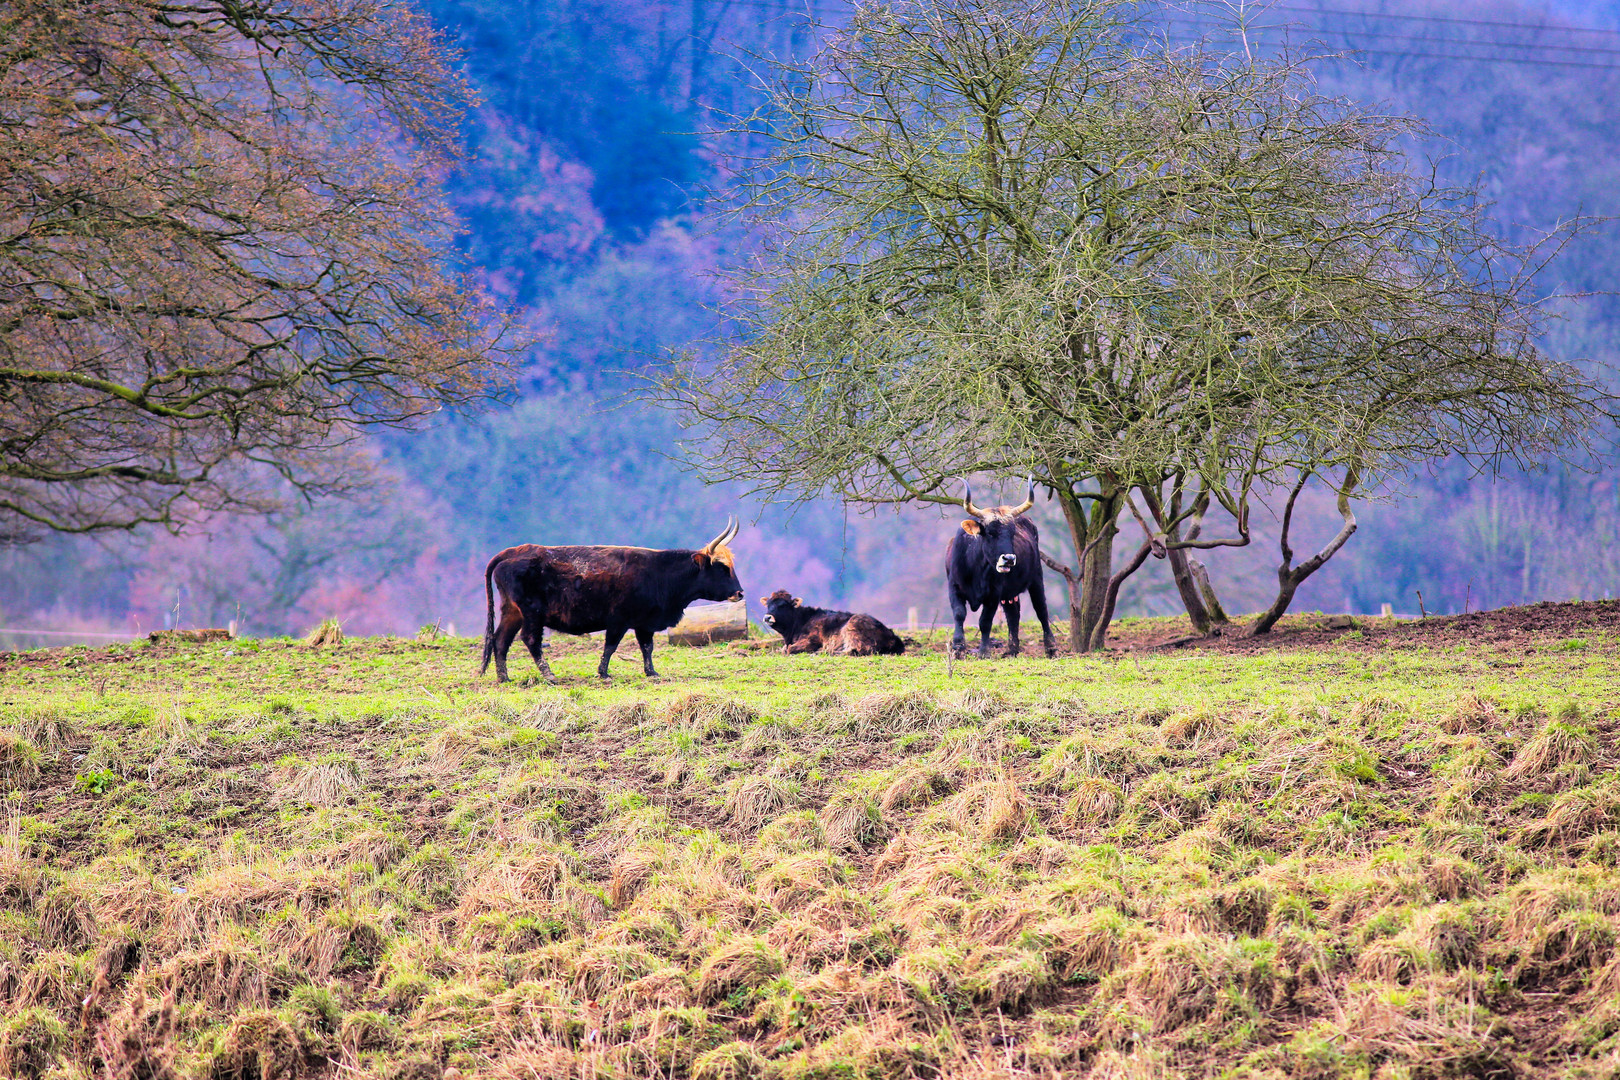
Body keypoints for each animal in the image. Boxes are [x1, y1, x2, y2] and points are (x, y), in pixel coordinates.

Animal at [473, 518, 741, 680]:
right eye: (721, 567)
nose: (740, 593)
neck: (660, 572)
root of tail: (515, 551)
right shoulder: (619, 620)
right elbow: (610, 646)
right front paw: (603, 673)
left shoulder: (644, 622)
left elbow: (647, 647)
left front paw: (651, 672)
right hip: (531, 613)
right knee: (529, 640)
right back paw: (548, 675)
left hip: (512, 611)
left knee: (500, 640)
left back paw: (504, 677)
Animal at [761, 592, 907, 660]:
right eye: (768, 604)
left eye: (783, 605)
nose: (767, 617)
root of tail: (893, 637)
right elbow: (782, 649)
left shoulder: (811, 640)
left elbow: (789, 649)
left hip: (854, 628)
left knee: (858, 650)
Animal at [946, 482, 1056, 660]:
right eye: (990, 533)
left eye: (1012, 534)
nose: (1009, 558)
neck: (976, 569)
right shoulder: (954, 587)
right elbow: (959, 614)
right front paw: (957, 649)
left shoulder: (993, 594)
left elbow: (985, 622)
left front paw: (984, 652)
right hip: (1010, 592)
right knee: (1013, 615)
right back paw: (1012, 650)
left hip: (1036, 579)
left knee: (1041, 610)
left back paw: (1051, 648)